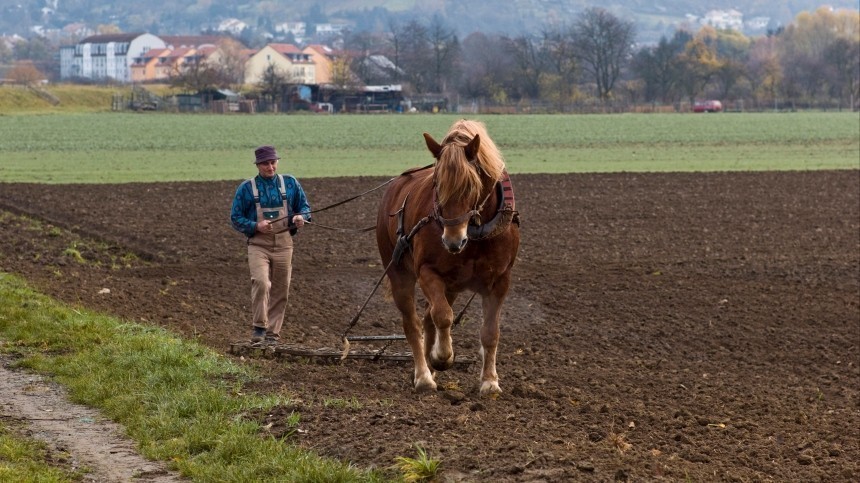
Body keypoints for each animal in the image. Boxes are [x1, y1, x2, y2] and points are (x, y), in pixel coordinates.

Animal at [374, 120, 520, 398]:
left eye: (471, 186)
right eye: (437, 184)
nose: (453, 241)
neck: (475, 235)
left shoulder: (500, 281)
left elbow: (490, 332)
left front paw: (489, 381)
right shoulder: (427, 272)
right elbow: (443, 316)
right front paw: (442, 356)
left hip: (451, 285)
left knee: (427, 318)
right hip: (400, 274)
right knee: (414, 323)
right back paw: (423, 375)